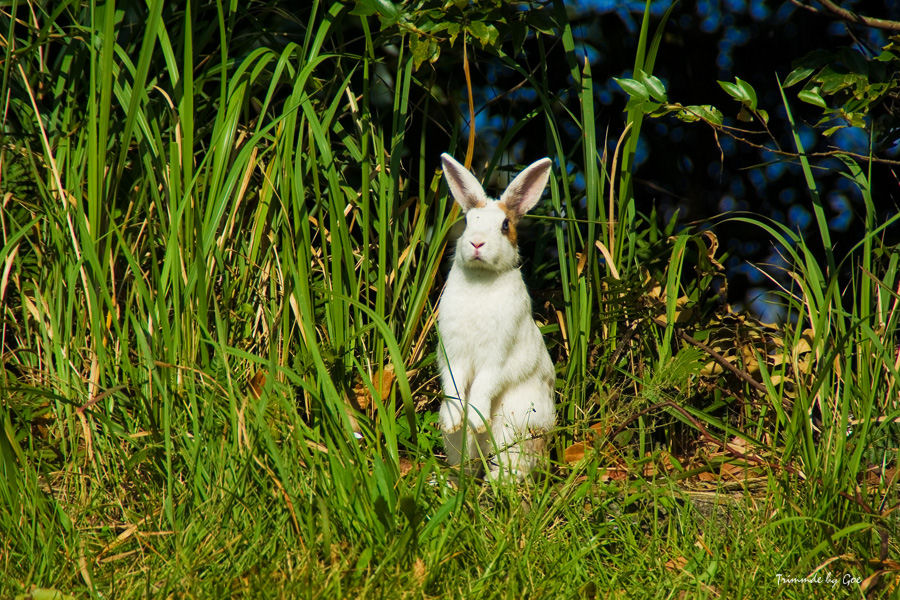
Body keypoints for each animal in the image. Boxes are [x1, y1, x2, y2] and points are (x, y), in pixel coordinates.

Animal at [436, 155, 556, 482]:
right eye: (467, 221)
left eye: (504, 225)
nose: (477, 243)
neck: (481, 279)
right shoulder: (453, 353)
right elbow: (453, 383)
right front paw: (456, 417)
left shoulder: (498, 356)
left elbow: (485, 383)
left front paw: (478, 418)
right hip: (458, 443)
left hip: (518, 425)